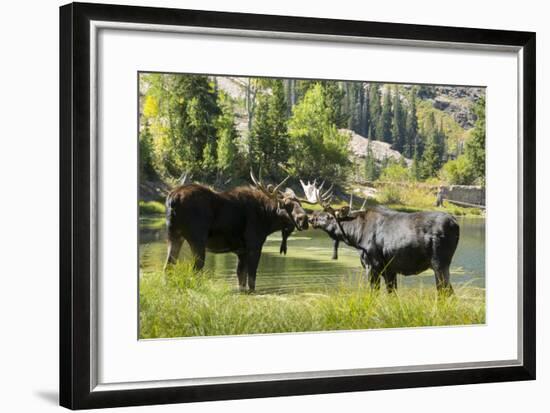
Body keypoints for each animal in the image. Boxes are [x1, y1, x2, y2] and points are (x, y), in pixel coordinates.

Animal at [162, 171, 312, 290]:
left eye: (300, 203)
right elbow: (252, 279)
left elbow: (241, 279)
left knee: (168, 266)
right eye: (287, 204)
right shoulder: (254, 245)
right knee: (196, 268)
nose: (304, 220)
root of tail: (173, 198)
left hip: (173, 235)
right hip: (197, 239)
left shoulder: (241, 251)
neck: (267, 218)